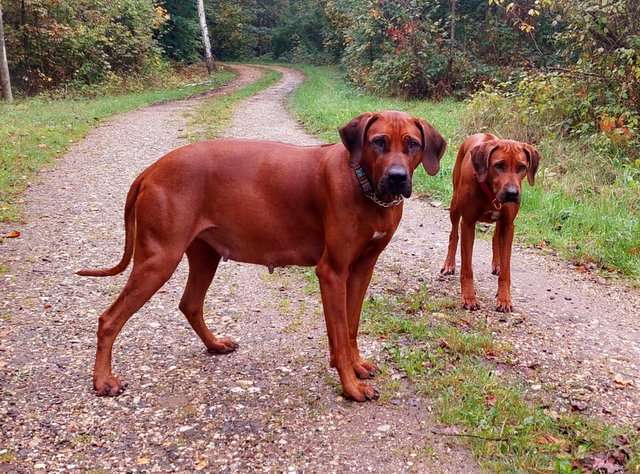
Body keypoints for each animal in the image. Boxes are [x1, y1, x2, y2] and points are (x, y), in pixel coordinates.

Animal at [78, 110, 446, 402]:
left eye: (412, 144)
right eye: (378, 142)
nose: (397, 179)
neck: (364, 185)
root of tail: (152, 169)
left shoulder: (361, 269)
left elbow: (351, 327)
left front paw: (356, 366)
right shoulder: (332, 272)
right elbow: (340, 334)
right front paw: (351, 387)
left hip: (205, 255)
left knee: (190, 304)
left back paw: (214, 344)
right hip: (159, 259)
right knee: (109, 319)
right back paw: (103, 381)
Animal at [440, 133, 540, 312]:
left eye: (522, 167)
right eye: (499, 165)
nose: (512, 193)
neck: (491, 193)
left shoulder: (508, 225)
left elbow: (506, 270)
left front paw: (504, 298)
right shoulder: (468, 223)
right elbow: (467, 267)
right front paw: (469, 297)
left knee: (496, 237)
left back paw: (497, 264)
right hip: (455, 204)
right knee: (453, 234)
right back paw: (449, 264)